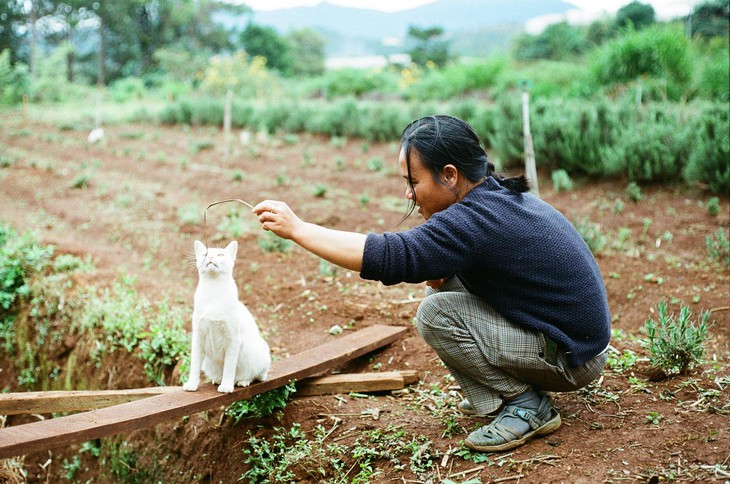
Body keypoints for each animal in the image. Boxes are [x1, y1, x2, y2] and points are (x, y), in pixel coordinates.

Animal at [182, 239, 270, 394]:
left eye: (220, 254)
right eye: (205, 254)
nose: (210, 257)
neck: (214, 290)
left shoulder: (233, 339)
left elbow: (229, 367)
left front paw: (227, 386)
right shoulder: (198, 337)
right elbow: (194, 366)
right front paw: (192, 384)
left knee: (257, 376)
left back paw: (241, 381)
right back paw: (217, 379)